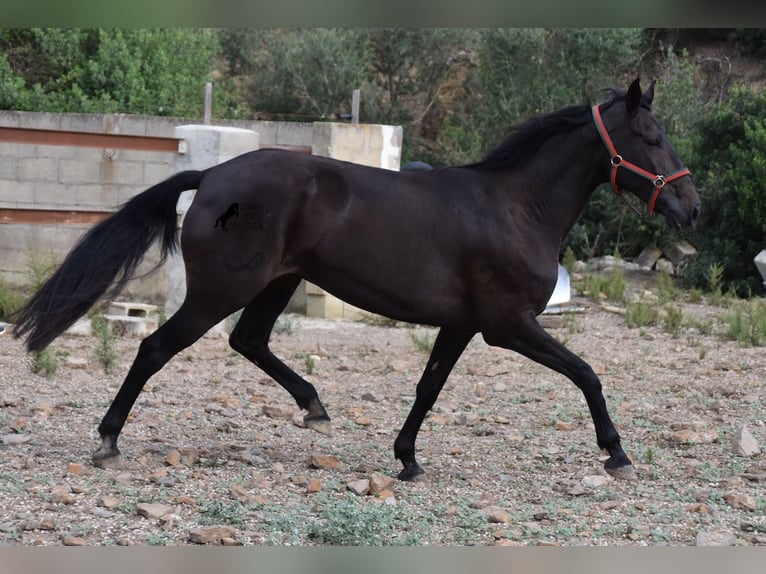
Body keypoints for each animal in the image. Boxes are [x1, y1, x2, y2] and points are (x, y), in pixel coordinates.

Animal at [12, 80, 704, 482]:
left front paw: (407, 460)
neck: (515, 207)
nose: (693, 208)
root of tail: (210, 178)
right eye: (651, 136)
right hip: (220, 291)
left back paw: (314, 406)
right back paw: (107, 441)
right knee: (156, 348)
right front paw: (617, 453)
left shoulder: (462, 324)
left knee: (249, 342)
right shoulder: (508, 326)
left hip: (276, 284)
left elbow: (428, 388)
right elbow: (586, 373)